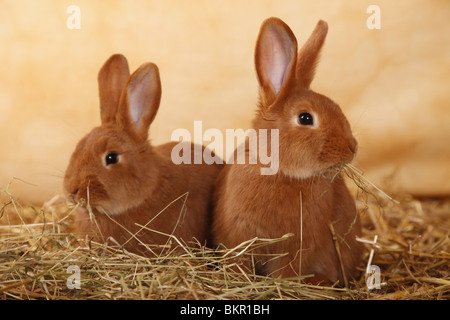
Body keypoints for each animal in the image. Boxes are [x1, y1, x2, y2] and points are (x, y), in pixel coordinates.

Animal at [213, 17, 364, 284]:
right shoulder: (237, 238)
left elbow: (287, 271)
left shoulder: (297, 247)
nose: (352, 147)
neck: (278, 171)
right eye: (305, 118)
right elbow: (238, 263)